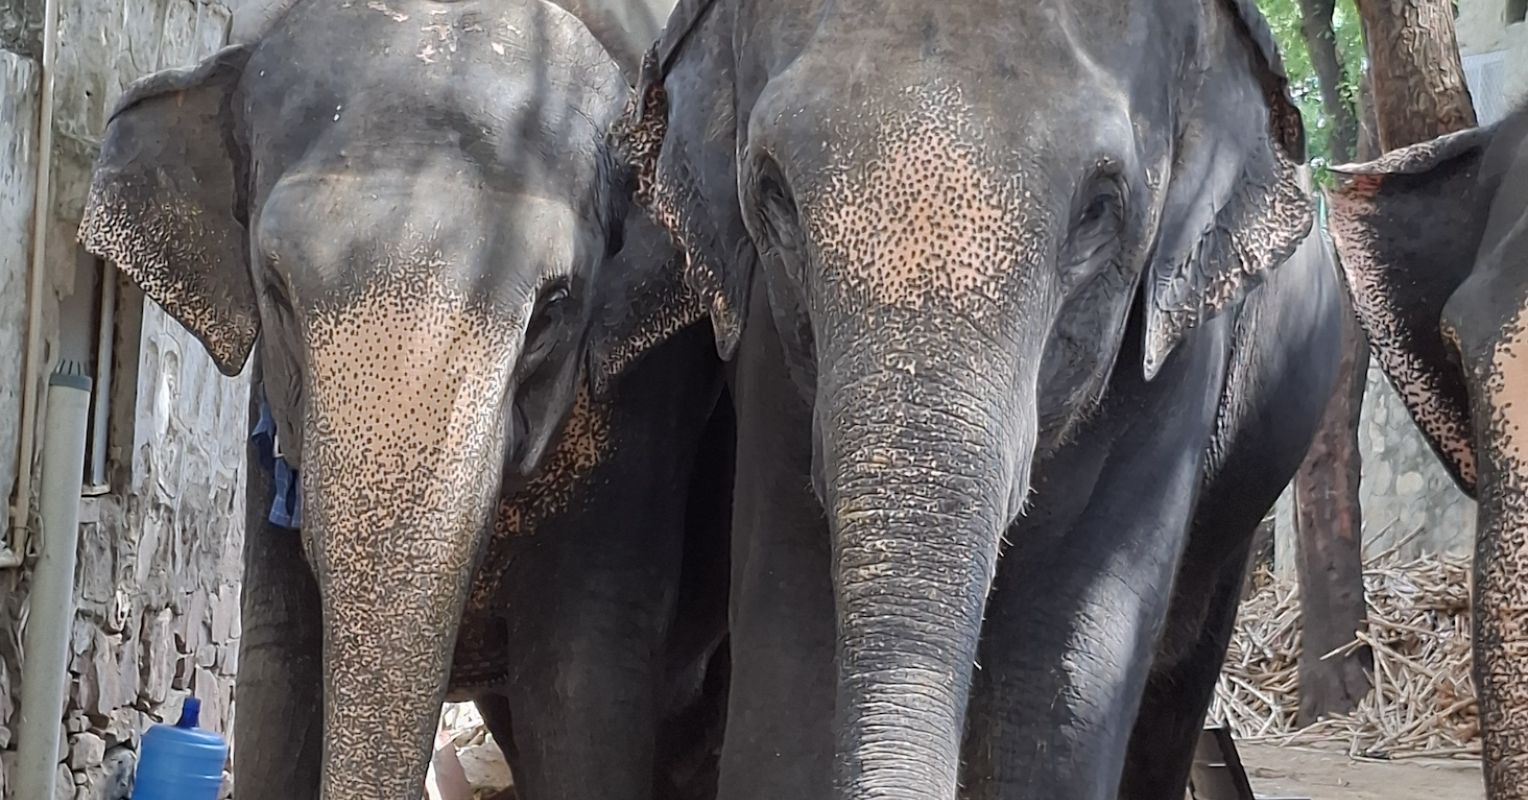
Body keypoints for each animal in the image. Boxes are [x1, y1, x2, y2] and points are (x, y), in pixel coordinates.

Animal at [606, 0, 1340, 797]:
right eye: (774, 193)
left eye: (1099, 208)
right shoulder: (770, 343)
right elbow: (790, 636)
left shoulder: (1174, 351)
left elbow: (1060, 672)